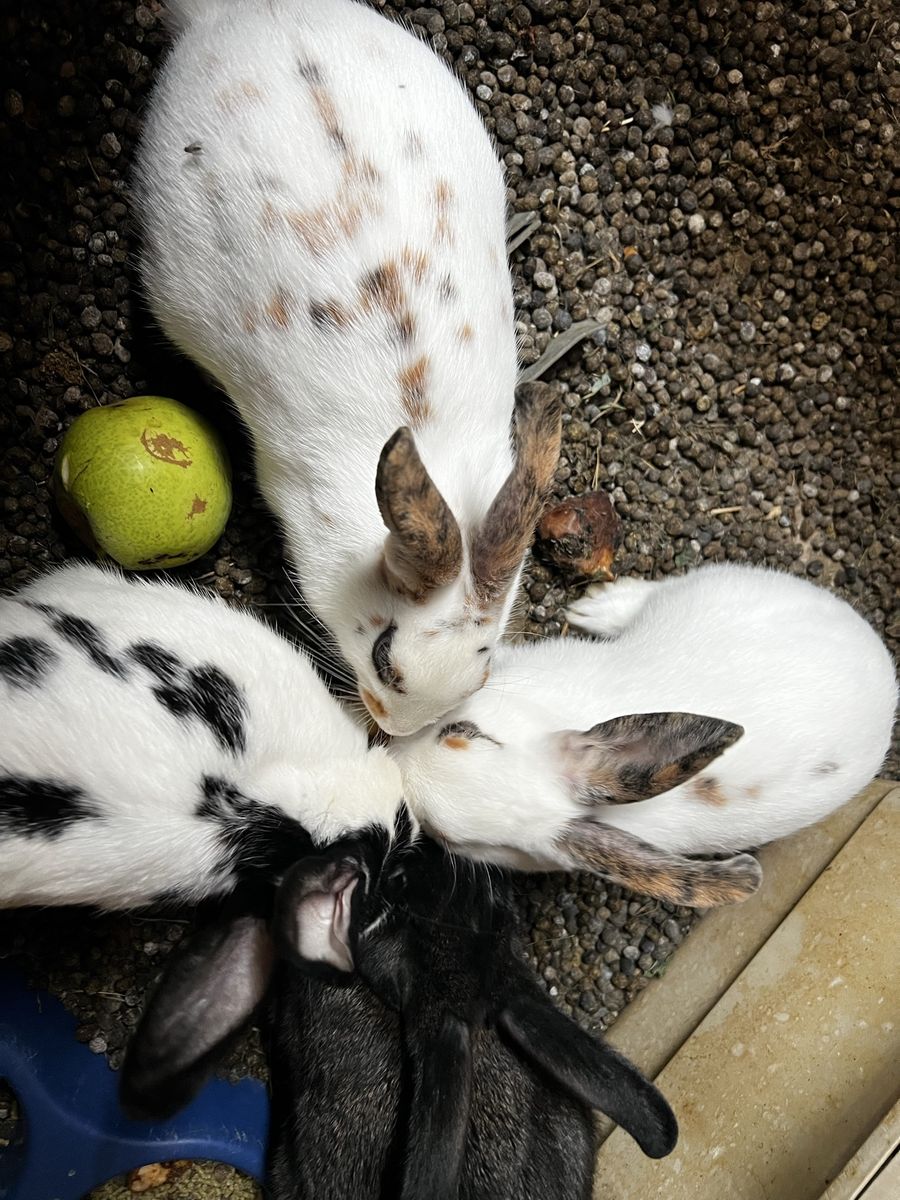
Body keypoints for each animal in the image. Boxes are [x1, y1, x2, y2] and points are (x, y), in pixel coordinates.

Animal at [390, 562, 898, 906]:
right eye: (463, 731)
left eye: (447, 838)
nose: (398, 759)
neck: (544, 711)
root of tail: (883, 673)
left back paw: (597, 606)